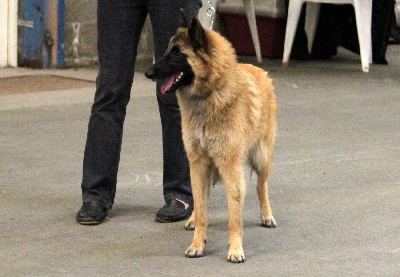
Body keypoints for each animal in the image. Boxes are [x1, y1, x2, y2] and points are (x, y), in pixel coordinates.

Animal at [145, 10, 278, 260]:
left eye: (177, 53)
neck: (210, 93)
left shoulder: (230, 167)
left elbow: (234, 216)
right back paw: (192, 219)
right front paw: (197, 242)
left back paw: (267, 215)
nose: (148, 73)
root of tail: (259, 70)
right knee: (201, 200)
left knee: (261, 186)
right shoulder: (197, 163)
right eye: (167, 50)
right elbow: (201, 206)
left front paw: (235, 248)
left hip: (262, 157)